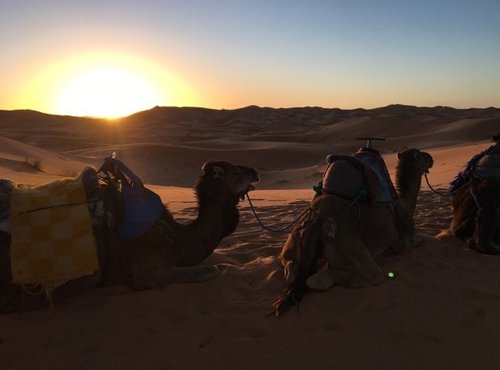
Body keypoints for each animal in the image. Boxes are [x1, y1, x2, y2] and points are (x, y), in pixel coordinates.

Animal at [272, 147, 432, 316]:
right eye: (422, 156)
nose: (431, 158)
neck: (405, 202)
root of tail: (316, 218)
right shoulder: (405, 242)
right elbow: (418, 240)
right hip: (349, 242)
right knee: (364, 276)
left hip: (296, 233)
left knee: (289, 263)